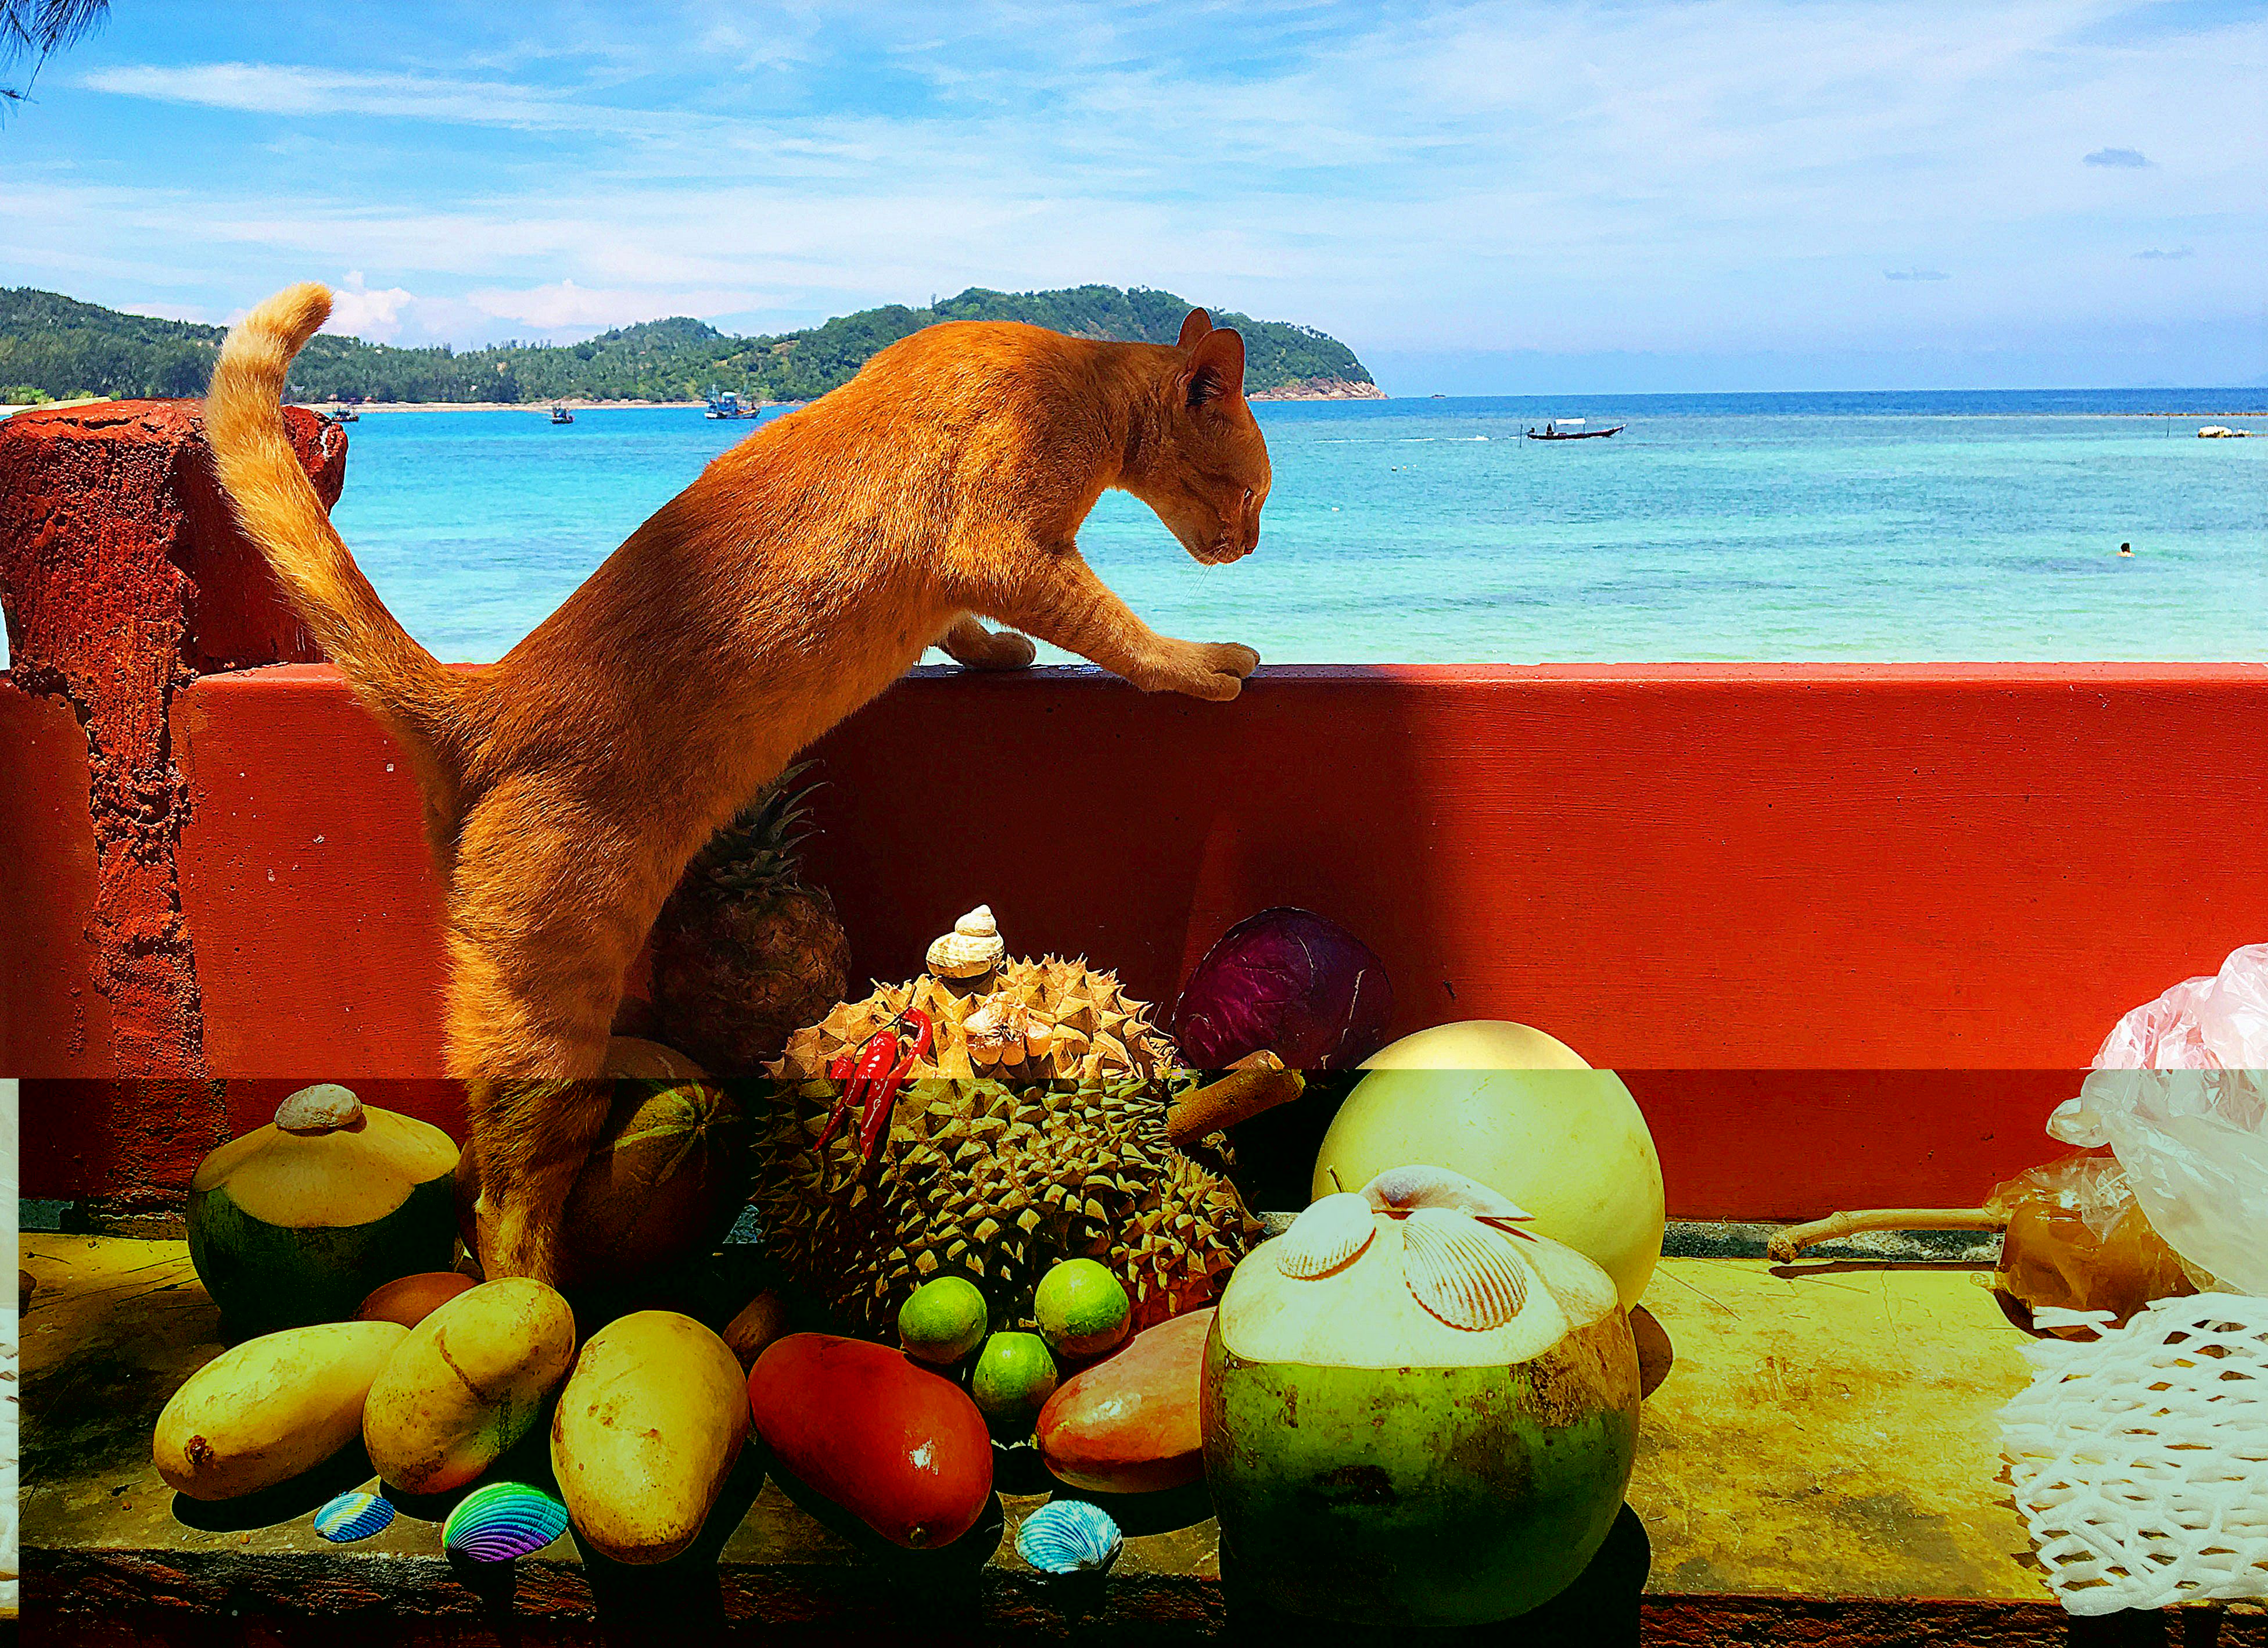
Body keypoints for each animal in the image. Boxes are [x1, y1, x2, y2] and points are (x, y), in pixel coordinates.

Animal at [209, 284, 1279, 1280]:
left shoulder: (964, 578)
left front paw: (999, 656)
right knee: (507, 1200)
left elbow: (968, 630)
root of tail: (483, 700)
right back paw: (537, 1309)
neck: (1078, 379)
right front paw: (1200, 662)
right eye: (1255, 492)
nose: (1254, 546)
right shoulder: (1005, 548)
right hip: (549, 1005)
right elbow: (1121, 633)